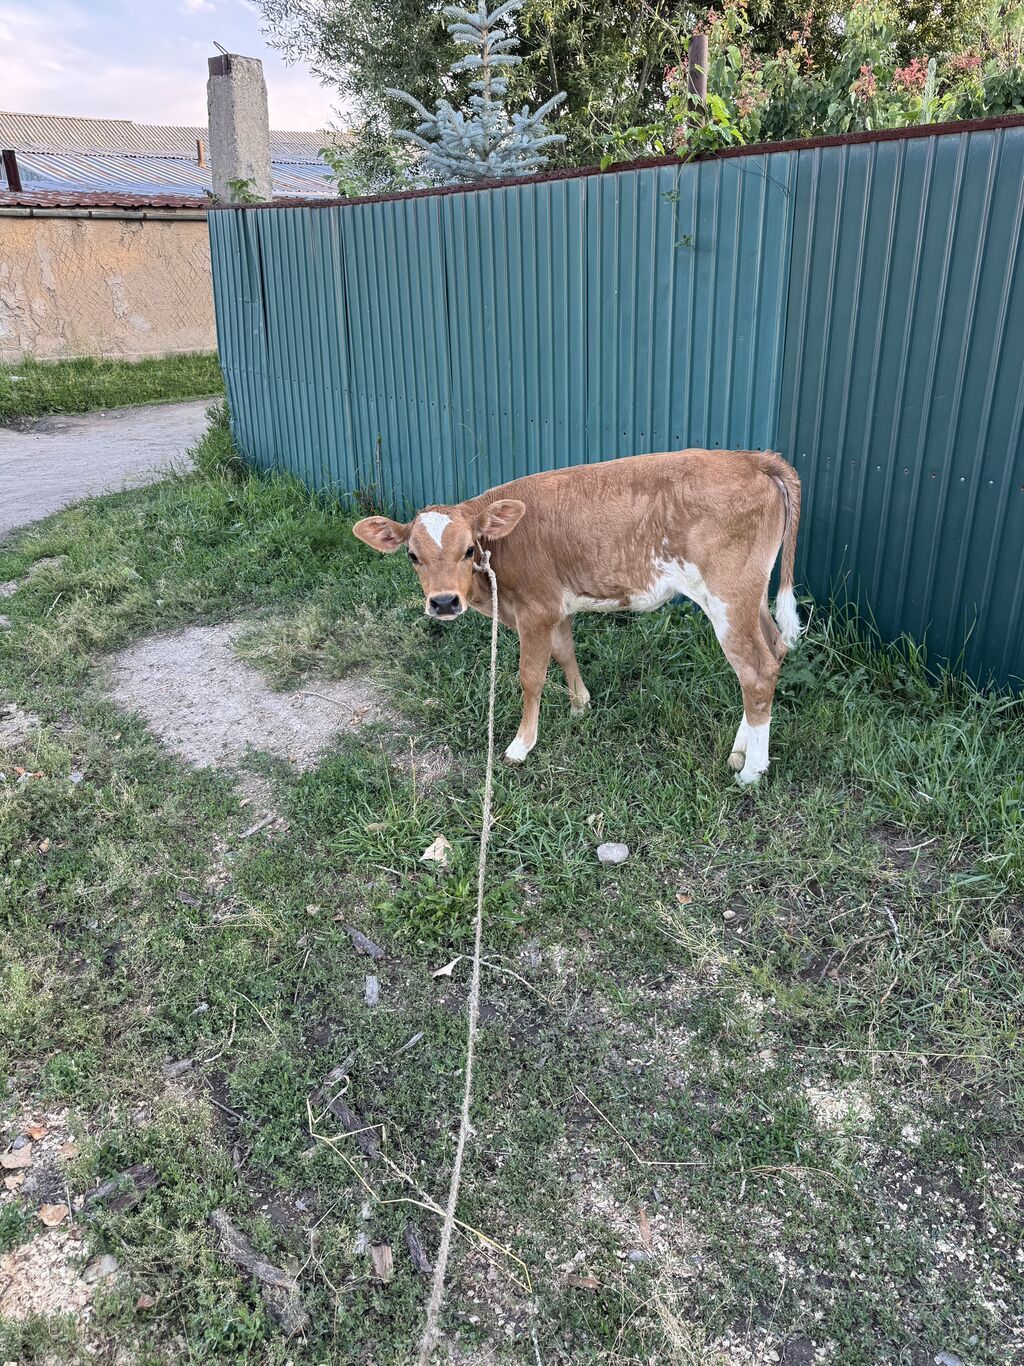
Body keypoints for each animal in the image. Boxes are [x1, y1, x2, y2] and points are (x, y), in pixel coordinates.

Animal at [352, 449, 802, 785]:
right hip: (748, 596)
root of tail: (751, 459)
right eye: (412, 556)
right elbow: (564, 652)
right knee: (774, 650)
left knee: (755, 670)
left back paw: (752, 770)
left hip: (729, 596)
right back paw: (741, 750)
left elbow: (530, 676)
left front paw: (521, 745)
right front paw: (579, 706)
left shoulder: (536, 609)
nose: (444, 602)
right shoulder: (556, 608)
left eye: (468, 550)